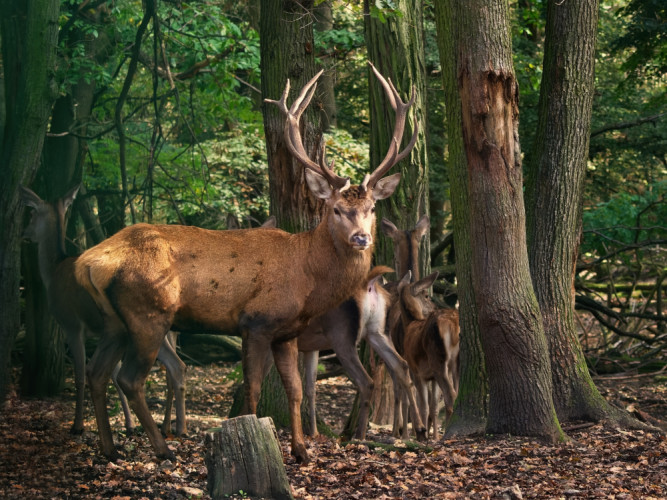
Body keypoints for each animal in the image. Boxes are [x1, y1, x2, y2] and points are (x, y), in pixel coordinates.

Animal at [19, 187, 187, 438]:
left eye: (31, 214)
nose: (24, 233)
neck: (53, 272)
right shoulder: (102, 333)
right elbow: (112, 376)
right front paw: (128, 424)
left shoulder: (71, 324)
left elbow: (80, 375)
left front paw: (78, 425)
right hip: (163, 330)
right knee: (174, 367)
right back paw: (172, 427)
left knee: (171, 367)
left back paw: (173, 427)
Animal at [69, 63, 418, 464]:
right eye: (336, 209)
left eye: (371, 208)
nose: (362, 239)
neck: (306, 277)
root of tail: (88, 260)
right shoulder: (256, 321)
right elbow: (252, 388)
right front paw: (257, 435)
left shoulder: (287, 332)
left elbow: (295, 389)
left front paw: (301, 451)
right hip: (147, 312)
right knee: (128, 379)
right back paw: (162, 449)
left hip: (114, 321)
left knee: (97, 372)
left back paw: (111, 448)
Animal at [396, 272, 460, 440]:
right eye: (426, 295)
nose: (434, 307)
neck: (411, 324)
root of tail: (452, 324)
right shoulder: (430, 377)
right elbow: (433, 406)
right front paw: (432, 435)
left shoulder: (416, 371)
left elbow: (423, 405)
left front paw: (423, 435)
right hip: (455, 361)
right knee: (456, 391)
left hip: (438, 360)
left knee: (451, 394)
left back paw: (446, 434)